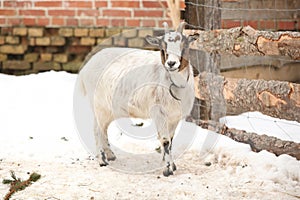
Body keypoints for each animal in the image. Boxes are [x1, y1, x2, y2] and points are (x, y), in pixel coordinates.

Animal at [77, 21, 197, 175]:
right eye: (162, 47)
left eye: (184, 45)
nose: (171, 63)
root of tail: (86, 68)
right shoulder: (159, 113)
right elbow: (165, 140)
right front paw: (167, 170)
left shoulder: (174, 117)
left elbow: (171, 140)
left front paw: (172, 165)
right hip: (99, 105)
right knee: (97, 130)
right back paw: (102, 160)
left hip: (108, 109)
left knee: (103, 129)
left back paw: (110, 155)